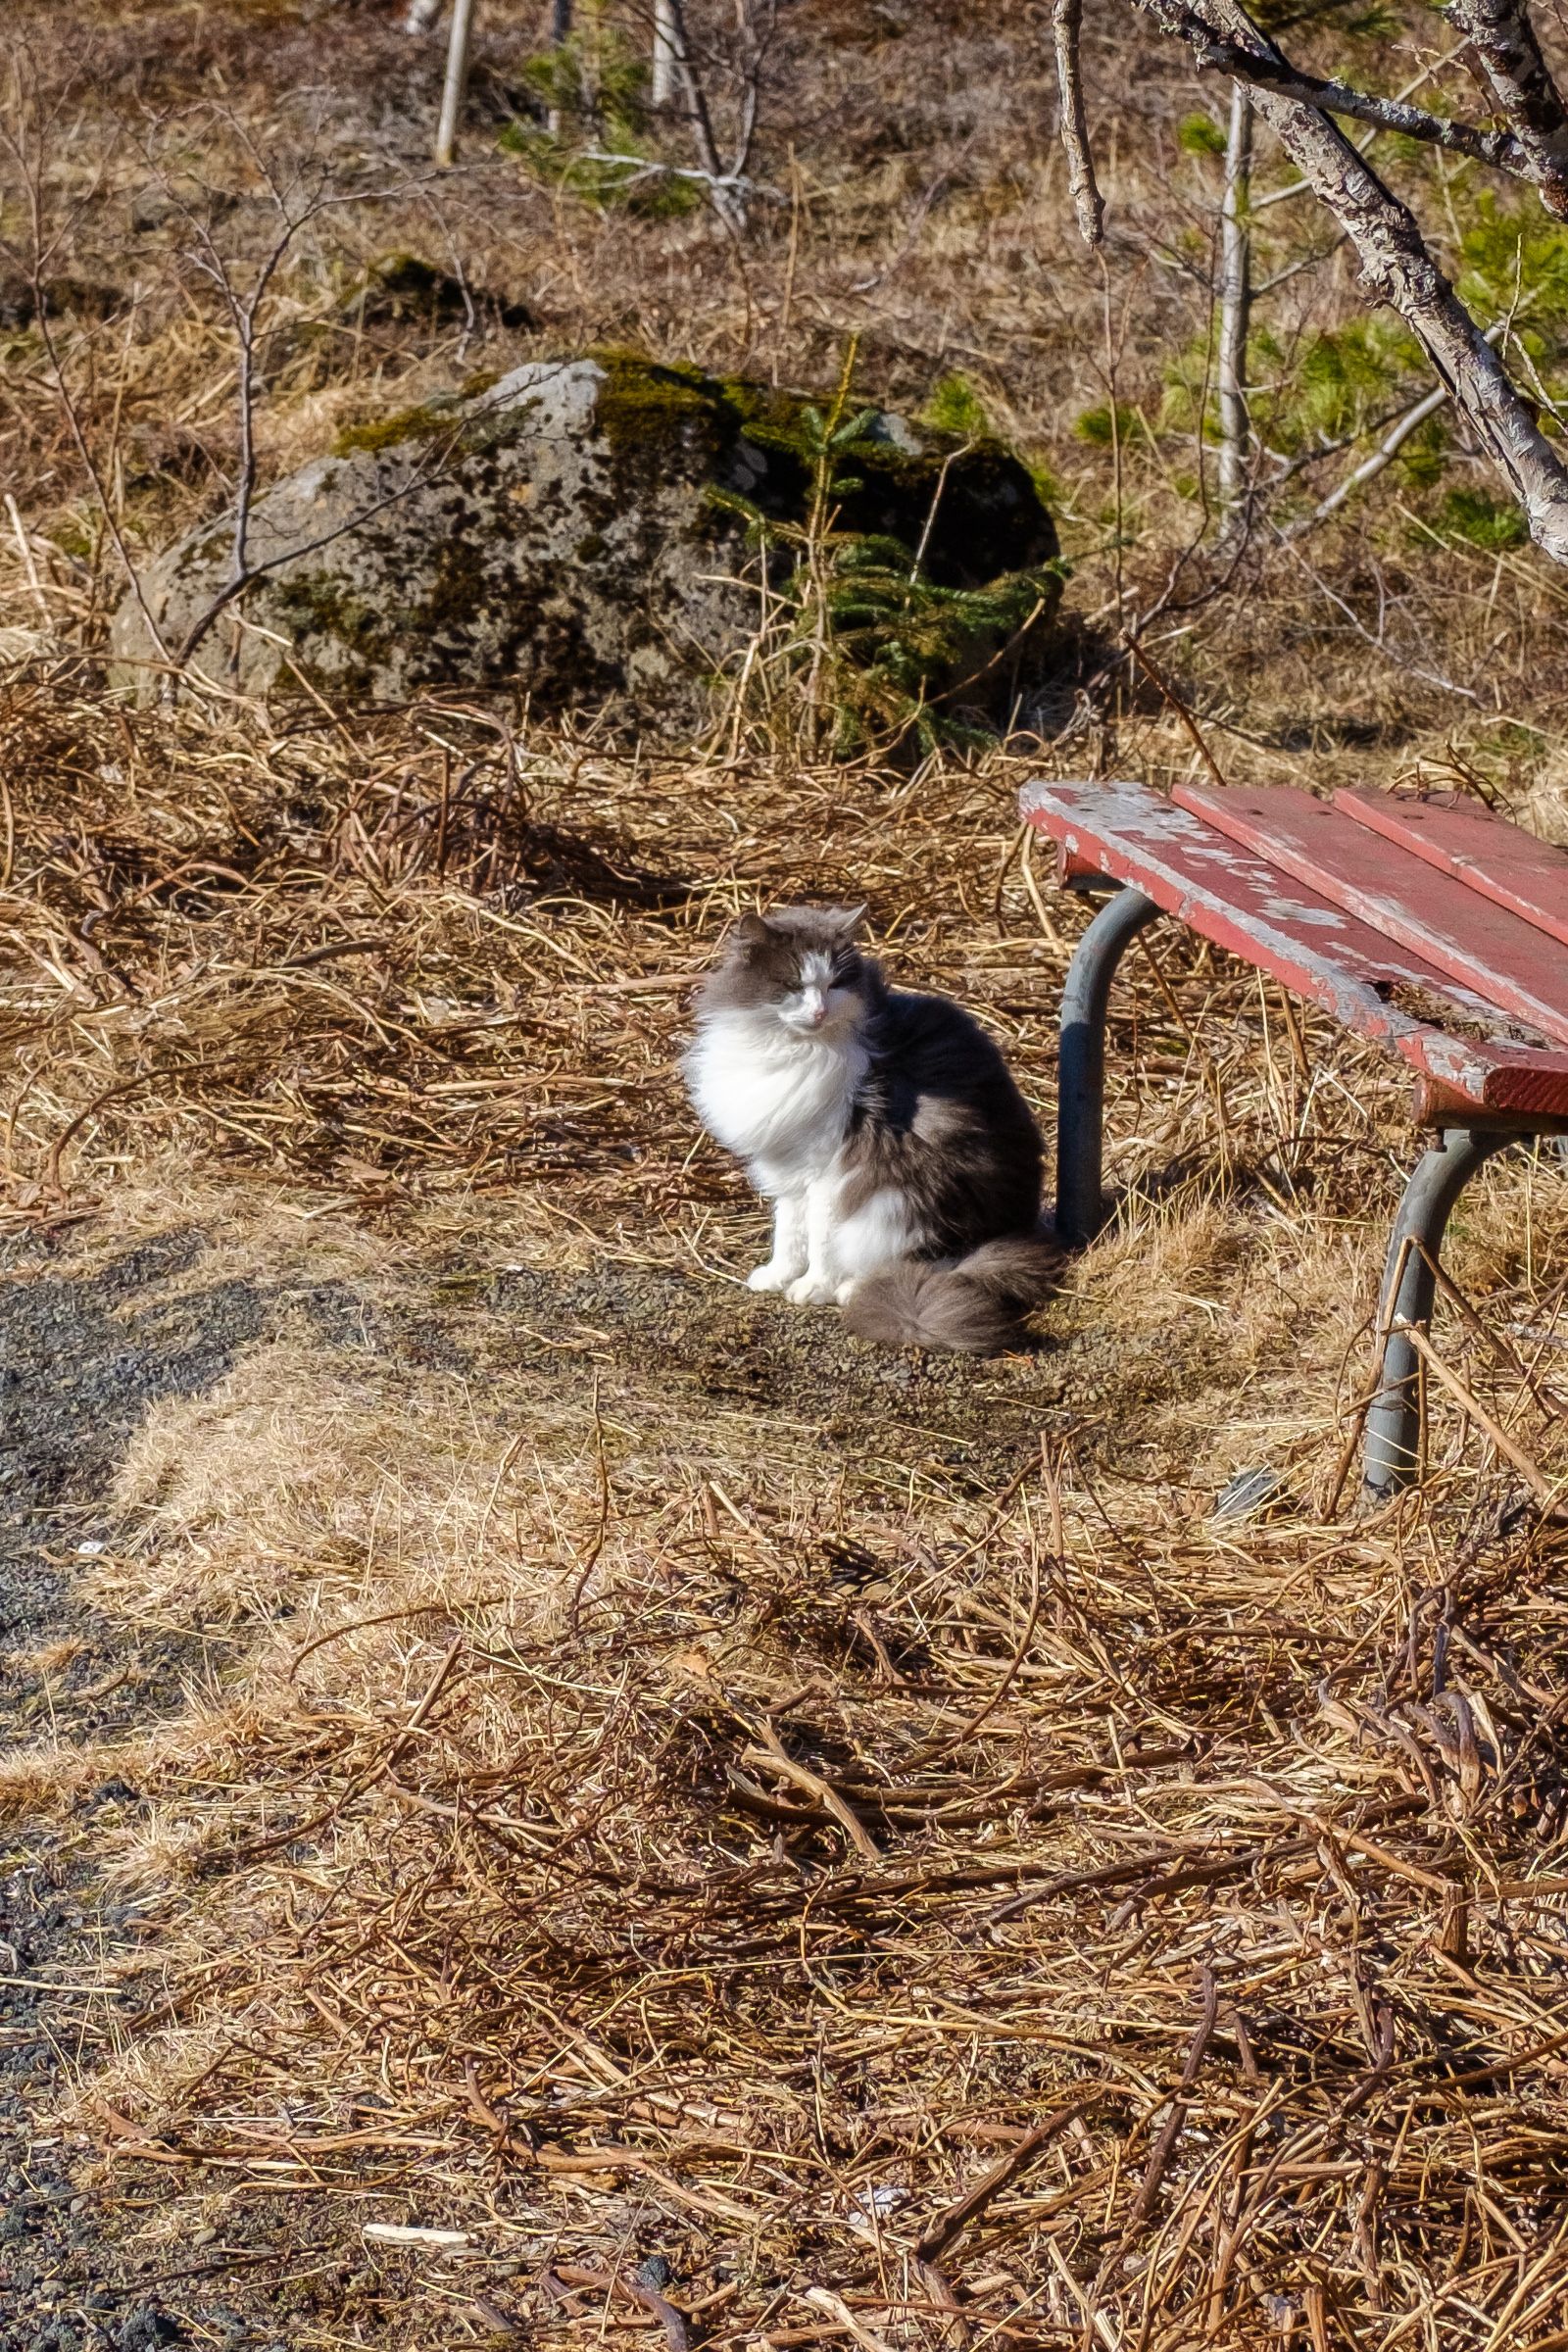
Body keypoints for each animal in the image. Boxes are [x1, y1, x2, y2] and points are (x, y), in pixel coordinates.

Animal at [681, 917, 1062, 1364]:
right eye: (793, 984)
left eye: (835, 985)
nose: (819, 1011)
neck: (793, 1048)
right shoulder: (791, 1167)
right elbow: (788, 1232)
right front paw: (776, 1277)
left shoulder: (829, 1170)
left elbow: (820, 1239)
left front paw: (812, 1287)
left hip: (898, 1208)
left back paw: (850, 1290)